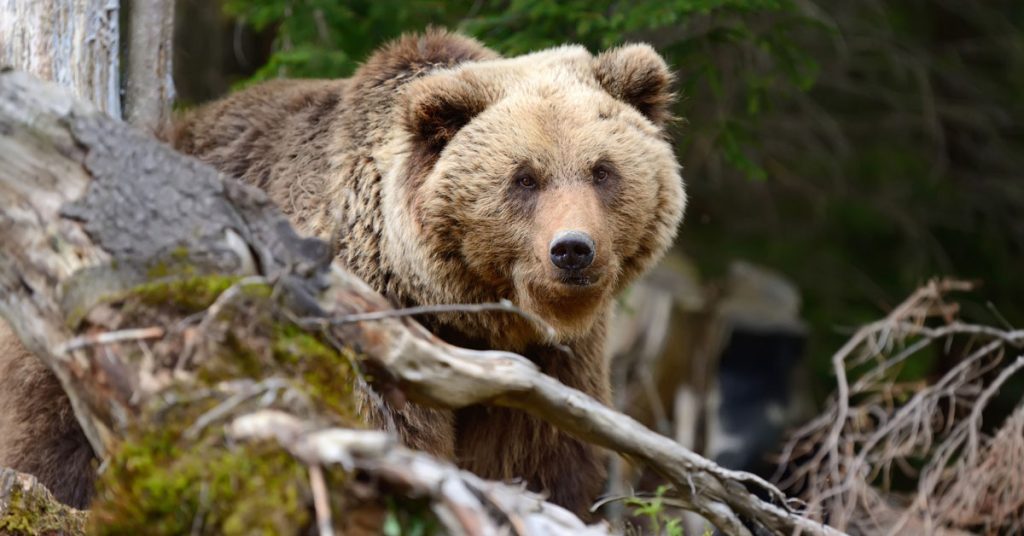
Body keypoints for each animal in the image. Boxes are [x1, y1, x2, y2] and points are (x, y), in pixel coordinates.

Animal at [0, 29, 685, 517]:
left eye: (601, 170)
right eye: (524, 178)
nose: (572, 250)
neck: (463, 312)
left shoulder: (553, 360)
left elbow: (544, 452)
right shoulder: (364, 322)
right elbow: (380, 428)